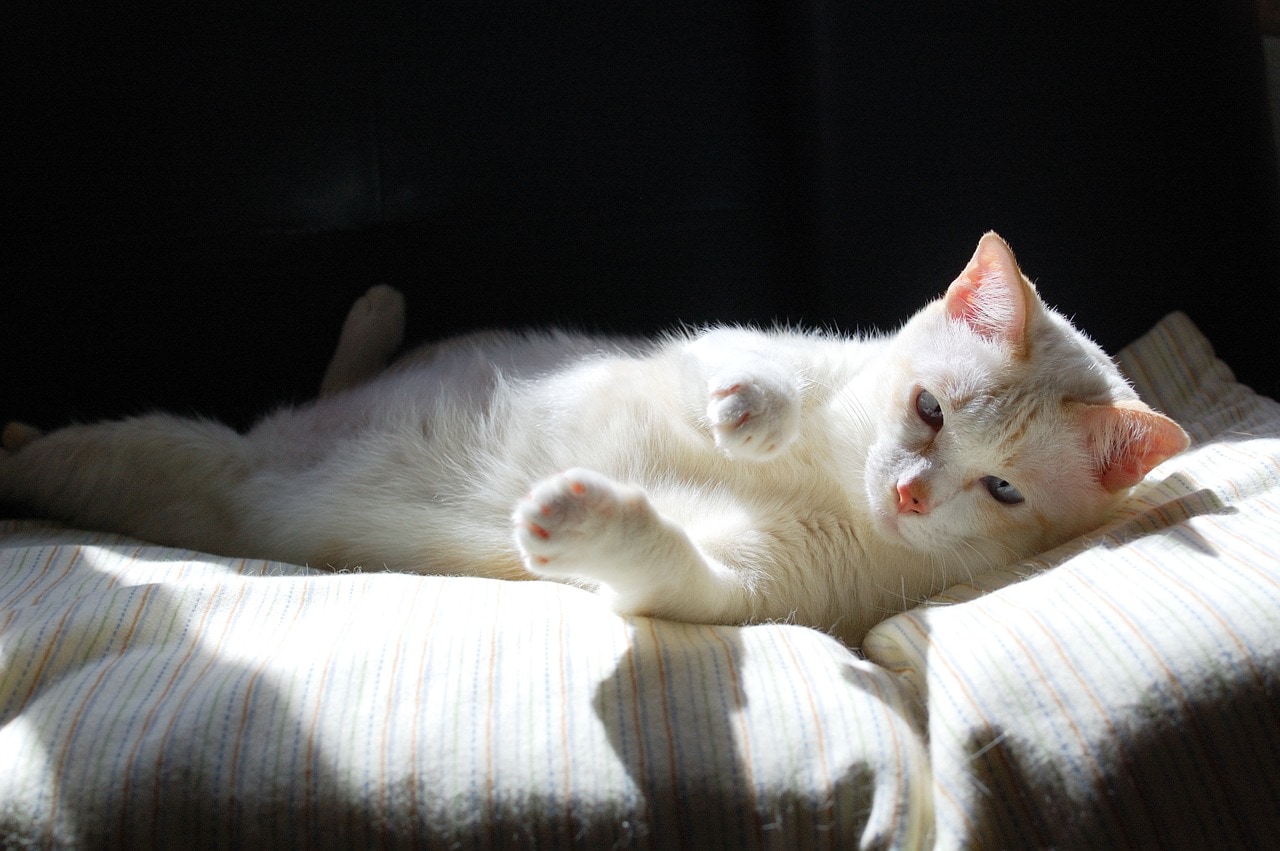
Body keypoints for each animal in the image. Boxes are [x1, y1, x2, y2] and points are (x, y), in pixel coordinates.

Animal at [0, 232, 1187, 644]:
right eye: (929, 409)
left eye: (1001, 492)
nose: (905, 493)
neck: (834, 481)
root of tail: (268, 445)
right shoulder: (754, 345)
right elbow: (756, 365)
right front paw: (750, 411)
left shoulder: (748, 588)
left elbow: (666, 565)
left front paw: (582, 521)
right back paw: (378, 313)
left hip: (156, 462)